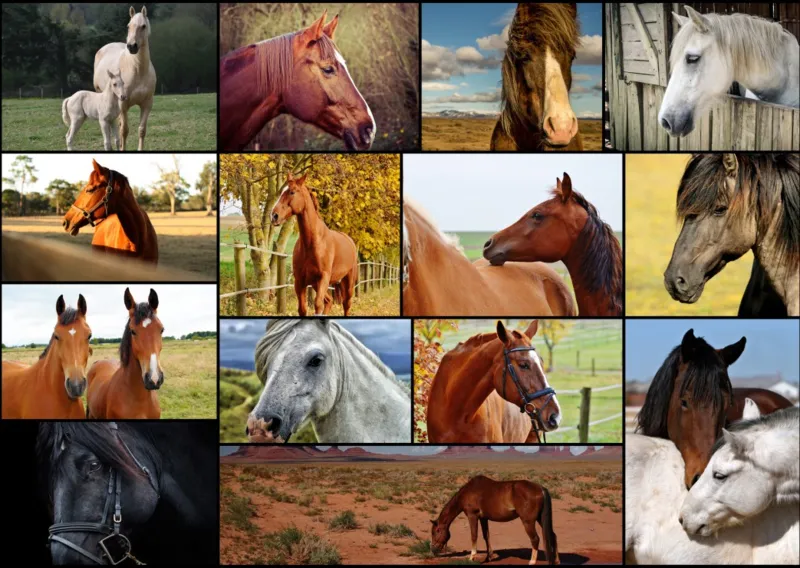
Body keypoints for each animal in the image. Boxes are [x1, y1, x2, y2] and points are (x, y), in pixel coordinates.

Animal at [93, 6, 157, 151]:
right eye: (128, 26)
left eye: (143, 26)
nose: (132, 46)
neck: (137, 70)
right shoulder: (123, 104)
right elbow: (124, 131)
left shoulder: (147, 104)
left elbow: (141, 130)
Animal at [270, 172, 358, 316]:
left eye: (292, 192)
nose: (274, 216)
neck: (312, 243)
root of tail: (349, 240)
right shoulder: (300, 281)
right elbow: (302, 309)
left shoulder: (323, 278)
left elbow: (317, 304)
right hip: (316, 284)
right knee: (329, 301)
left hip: (348, 282)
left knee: (346, 304)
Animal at [430, 475, 559, 565]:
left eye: (436, 531)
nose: (433, 549)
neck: (468, 492)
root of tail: (541, 488)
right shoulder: (483, 518)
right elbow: (486, 536)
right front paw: (489, 557)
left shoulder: (472, 516)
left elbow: (474, 536)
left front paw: (472, 557)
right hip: (540, 518)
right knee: (552, 535)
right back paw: (556, 560)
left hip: (528, 521)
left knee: (535, 539)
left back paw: (532, 561)